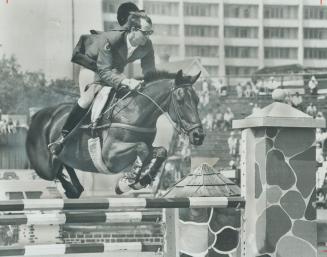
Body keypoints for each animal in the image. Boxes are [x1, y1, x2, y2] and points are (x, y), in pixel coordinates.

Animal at [26, 69, 205, 197]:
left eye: (197, 100)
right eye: (180, 100)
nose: (199, 136)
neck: (134, 111)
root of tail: (37, 116)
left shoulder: (146, 147)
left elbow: (160, 151)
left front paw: (141, 180)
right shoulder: (110, 156)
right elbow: (142, 148)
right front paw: (126, 183)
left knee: (66, 167)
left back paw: (73, 188)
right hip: (44, 168)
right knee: (54, 172)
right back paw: (66, 184)